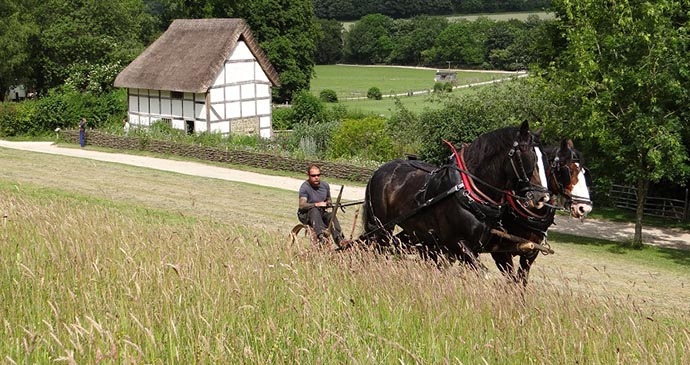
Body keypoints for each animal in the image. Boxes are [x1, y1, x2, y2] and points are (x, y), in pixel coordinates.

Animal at [360, 121, 548, 266]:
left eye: (545, 159)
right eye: (527, 155)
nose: (541, 197)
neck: (469, 192)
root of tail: (380, 170)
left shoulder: (472, 246)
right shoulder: (457, 243)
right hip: (381, 226)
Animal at [486, 138, 588, 282]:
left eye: (584, 172)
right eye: (569, 171)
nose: (584, 207)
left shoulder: (531, 252)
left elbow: (521, 281)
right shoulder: (499, 251)